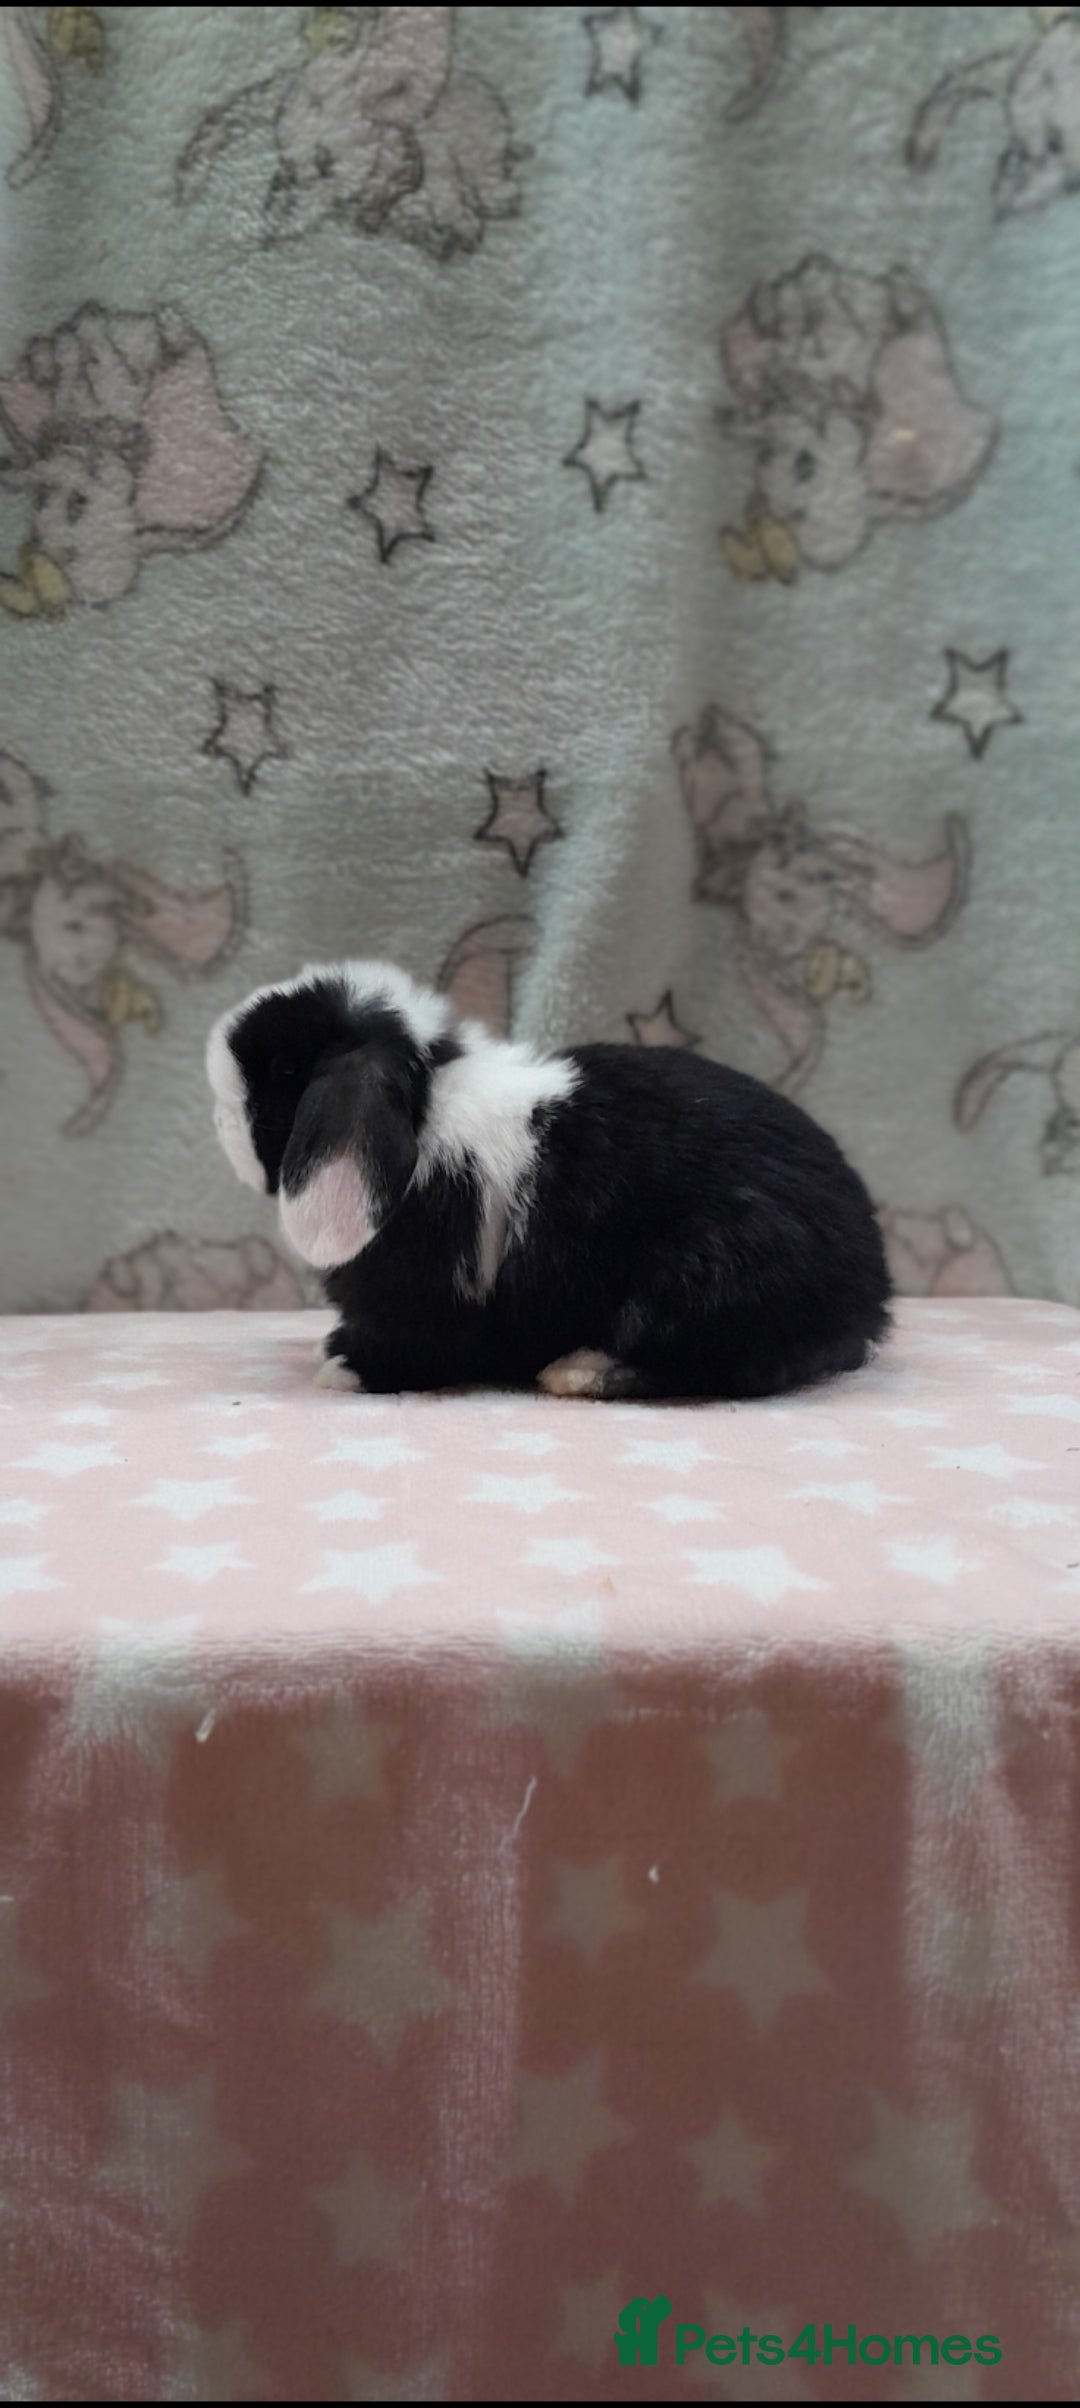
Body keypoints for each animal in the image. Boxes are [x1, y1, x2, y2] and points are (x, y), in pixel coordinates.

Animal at [206, 959, 891, 1400]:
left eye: (285, 1067)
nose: (214, 1103)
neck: (427, 1108)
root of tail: (871, 1289)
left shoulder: (427, 1303)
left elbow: (417, 1351)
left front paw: (342, 1367)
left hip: (710, 1280)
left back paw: (581, 1371)